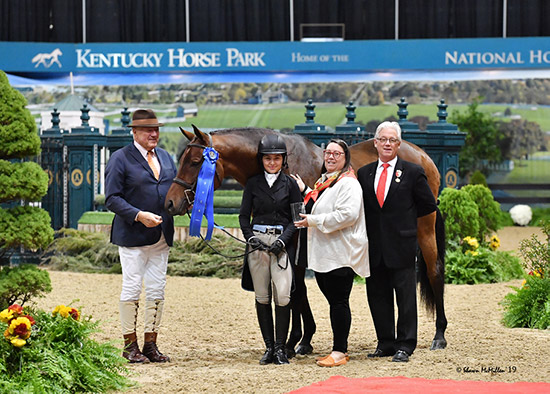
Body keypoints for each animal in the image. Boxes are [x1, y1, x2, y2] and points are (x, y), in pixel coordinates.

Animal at [167, 125, 448, 354]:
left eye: (195, 162)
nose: (170, 202)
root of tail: (424, 156)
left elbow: (295, 290)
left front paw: (295, 341)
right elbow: (298, 290)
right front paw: (302, 340)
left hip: (424, 228)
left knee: (433, 271)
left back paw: (439, 335)